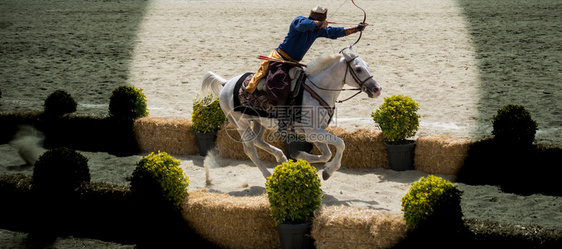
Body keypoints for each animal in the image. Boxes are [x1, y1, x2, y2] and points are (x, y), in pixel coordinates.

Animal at [199, 48, 378, 180]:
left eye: (368, 65)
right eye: (358, 69)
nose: (377, 89)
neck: (316, 91)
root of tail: (227, 83)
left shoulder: (315, 132)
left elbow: (326, 153)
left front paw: (301, 156)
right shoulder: (313, 131)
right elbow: (341, 143)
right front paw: (329, 171)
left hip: (258, 122)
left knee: (258, 141)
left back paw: (281, 157)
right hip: (241, 124)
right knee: (250, 150)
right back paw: (268, 174)